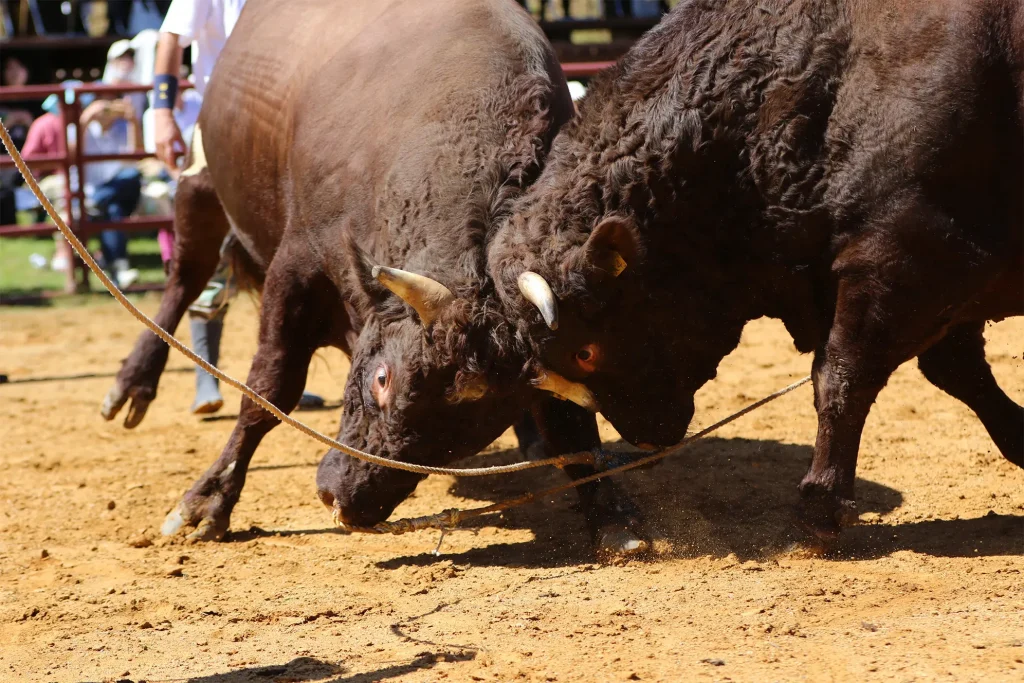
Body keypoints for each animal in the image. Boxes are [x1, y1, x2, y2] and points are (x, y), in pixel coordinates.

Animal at [103, 0, 647, 557]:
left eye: (473, 429)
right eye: (382, 380)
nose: (345, 501)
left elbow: (569, 423)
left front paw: (607, 509)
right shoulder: (297, 264)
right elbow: (269, 388)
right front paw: (209, 498)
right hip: (199, 181)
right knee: (184, 280)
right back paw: (133, 383)